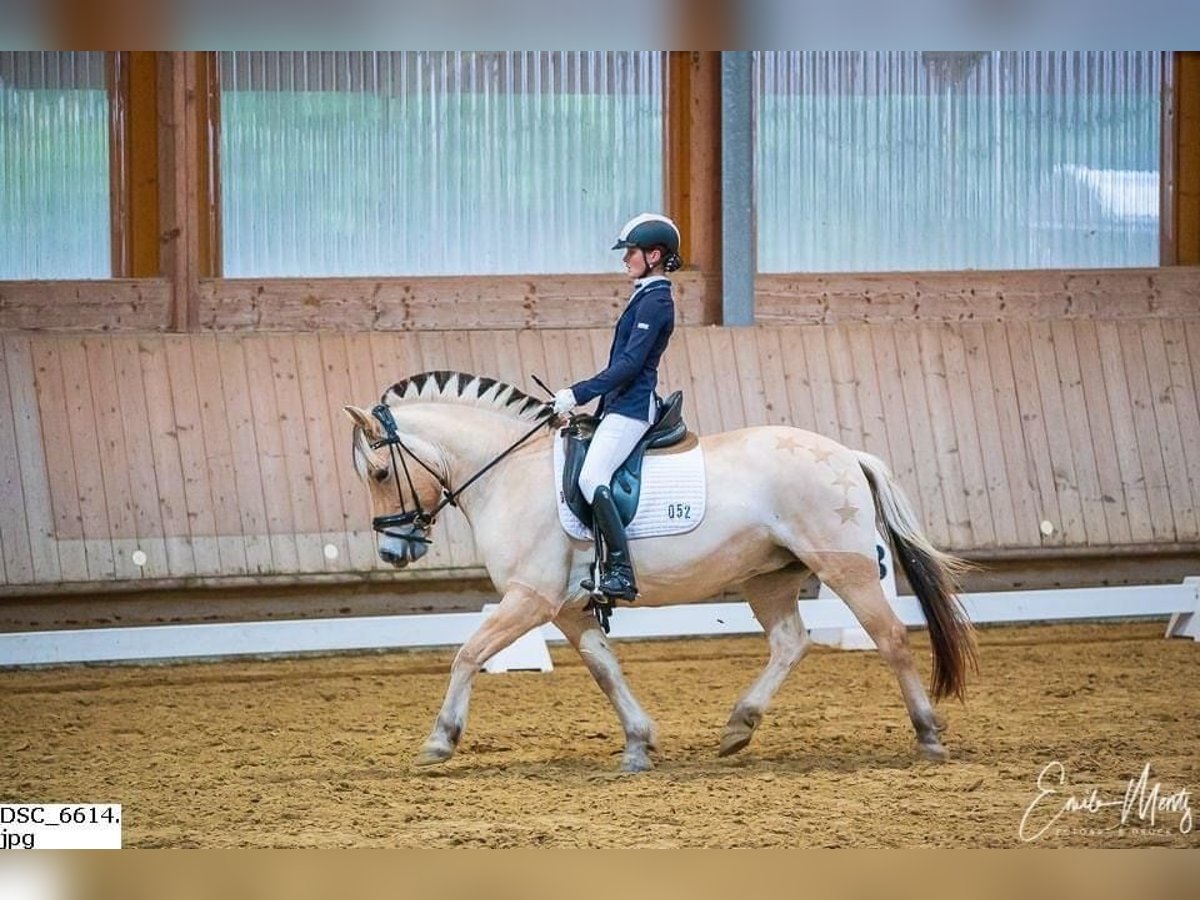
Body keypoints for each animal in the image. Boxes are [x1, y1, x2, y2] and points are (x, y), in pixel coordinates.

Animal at [345, 369, 974, 772]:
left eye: (379, 473)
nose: (394, 552)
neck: (509, 470)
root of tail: (846, 454)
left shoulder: (530, 597)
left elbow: (468, 653)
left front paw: (439, 740)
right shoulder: (568, 608)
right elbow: (605, 670)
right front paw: (638, 744)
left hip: (846, 567)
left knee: (889, 636)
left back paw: (928, 734)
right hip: (767, 577)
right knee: (791, 643)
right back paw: (738, 727)